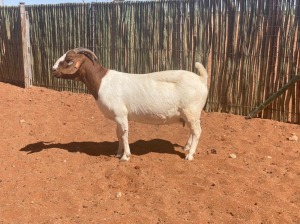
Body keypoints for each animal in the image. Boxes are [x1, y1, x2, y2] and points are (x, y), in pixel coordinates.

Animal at [52, 48, 209, 161]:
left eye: (69, 60)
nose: (53, 70)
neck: (102, 81)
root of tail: (201, 79)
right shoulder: (117, 117)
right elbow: (118, 134)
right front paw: (118, 153)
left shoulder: (121, 114)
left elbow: (124, 134)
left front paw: (125, 156)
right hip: (190, 114)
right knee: (192, 131)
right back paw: (186, 147)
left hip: (191, 110)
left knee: (197, 131)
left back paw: (189, 155)